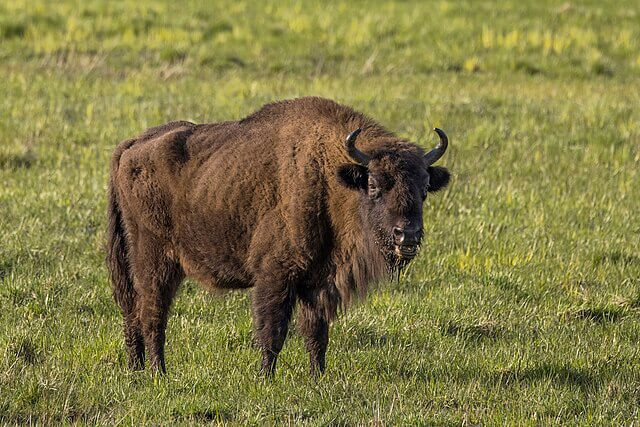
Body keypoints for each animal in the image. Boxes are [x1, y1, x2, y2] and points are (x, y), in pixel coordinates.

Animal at [107, 97, 450, 375]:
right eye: (374, 186)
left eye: (424, 189)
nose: (407, 236)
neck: (329, 174)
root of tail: (130, 147)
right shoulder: (276, 275)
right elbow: (273, 330)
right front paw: (265, 377)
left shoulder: (319, 281)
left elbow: (316, 333)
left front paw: (317, 377)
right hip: (154, 261)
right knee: (152, 313)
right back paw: (158, 372)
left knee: (133, 310)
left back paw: (137, 369)